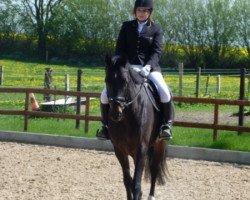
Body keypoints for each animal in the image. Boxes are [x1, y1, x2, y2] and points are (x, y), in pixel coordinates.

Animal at [104, 55, 169, 200]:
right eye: (106, 80)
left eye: (125, 81)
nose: (115, 113)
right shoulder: (120, 150)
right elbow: (127, 180)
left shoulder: (141, 148)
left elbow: (136, 183)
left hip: (159, 144)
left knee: (154, 170)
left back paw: (151, 196)